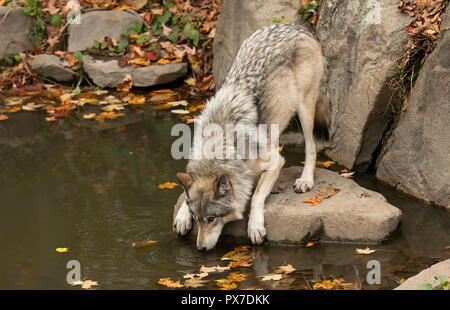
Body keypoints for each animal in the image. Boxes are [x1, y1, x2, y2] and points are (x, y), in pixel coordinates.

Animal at [174, 21, 328, 251]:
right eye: (196, 219)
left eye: (212, 219)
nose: (200, 248)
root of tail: (299, 26)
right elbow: (186, 194)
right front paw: (182, 215)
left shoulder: (275, 161)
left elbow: (255, 197)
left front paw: (255, 227)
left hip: (305, 111)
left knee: (312, 148)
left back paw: (305, 180)